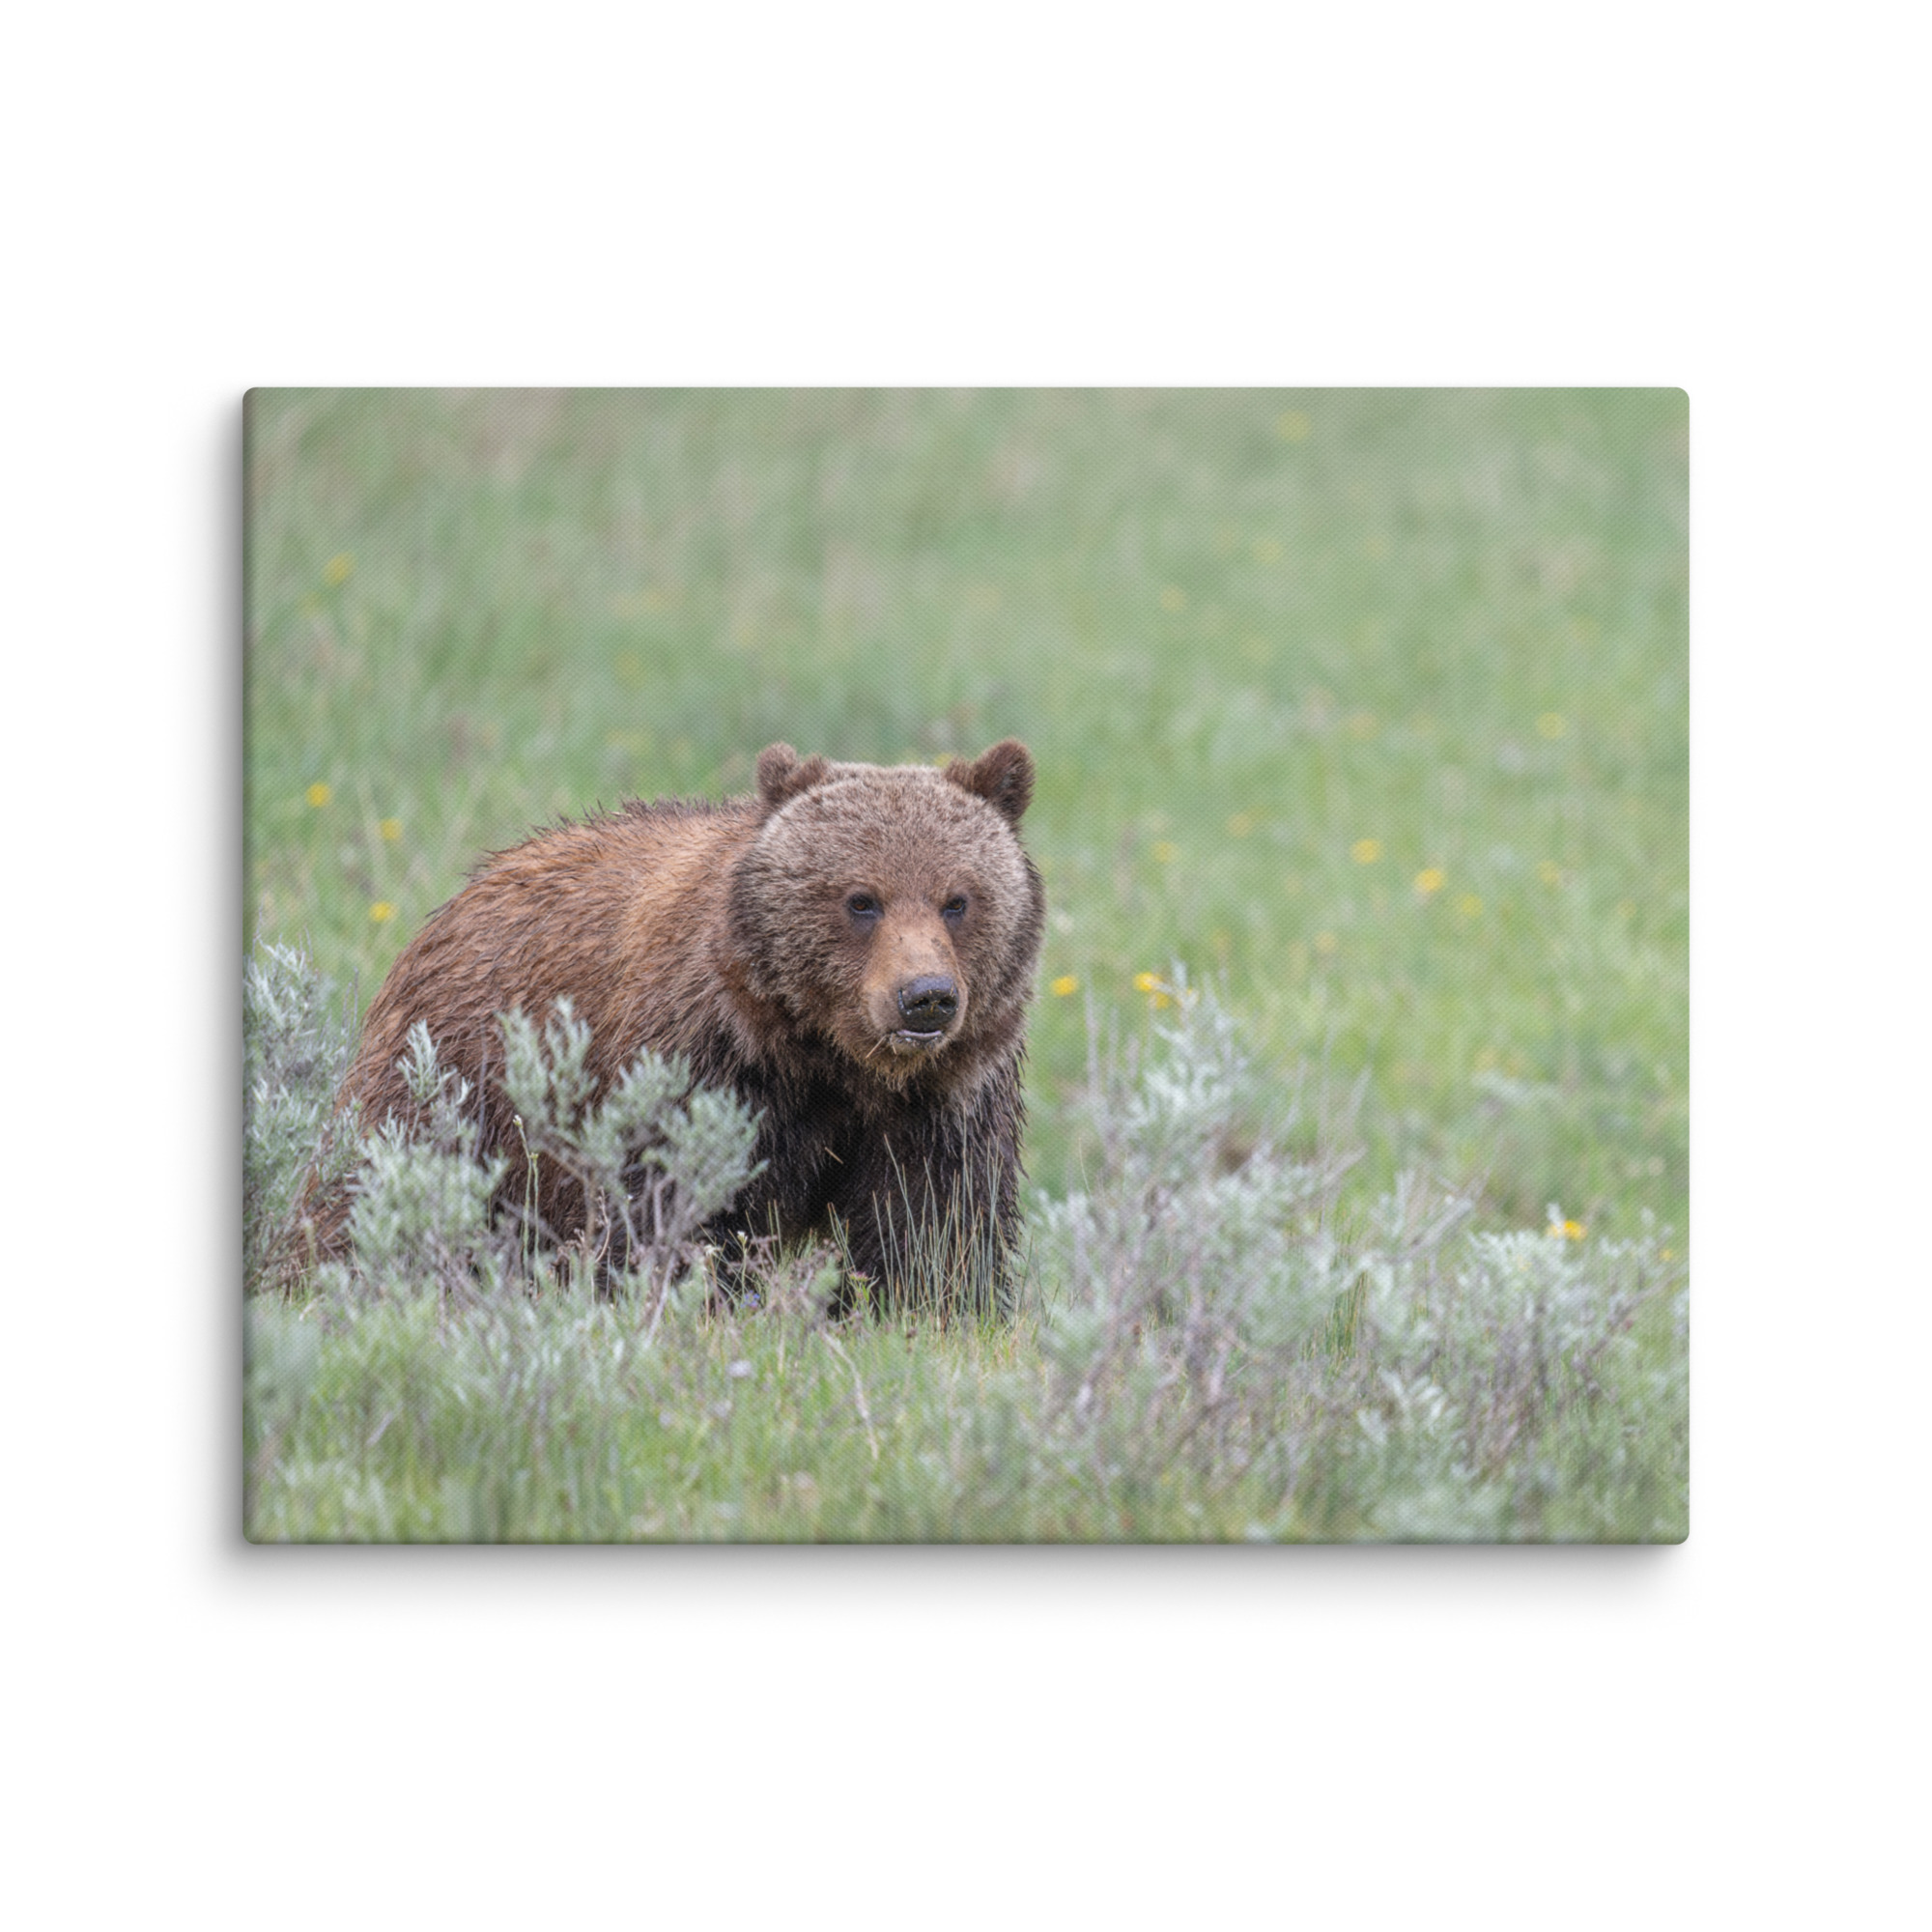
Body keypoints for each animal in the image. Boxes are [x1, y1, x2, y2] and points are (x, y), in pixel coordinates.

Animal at [323, 739, 1044, 1310]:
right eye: (861, 900)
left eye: (958, 900)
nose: (925, 997)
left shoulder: (942, 1098)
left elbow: (933, 1225)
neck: (829, 1058)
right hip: (457, 1077)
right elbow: (671, 1206)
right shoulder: (704, 1065)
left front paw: (924, 1309)